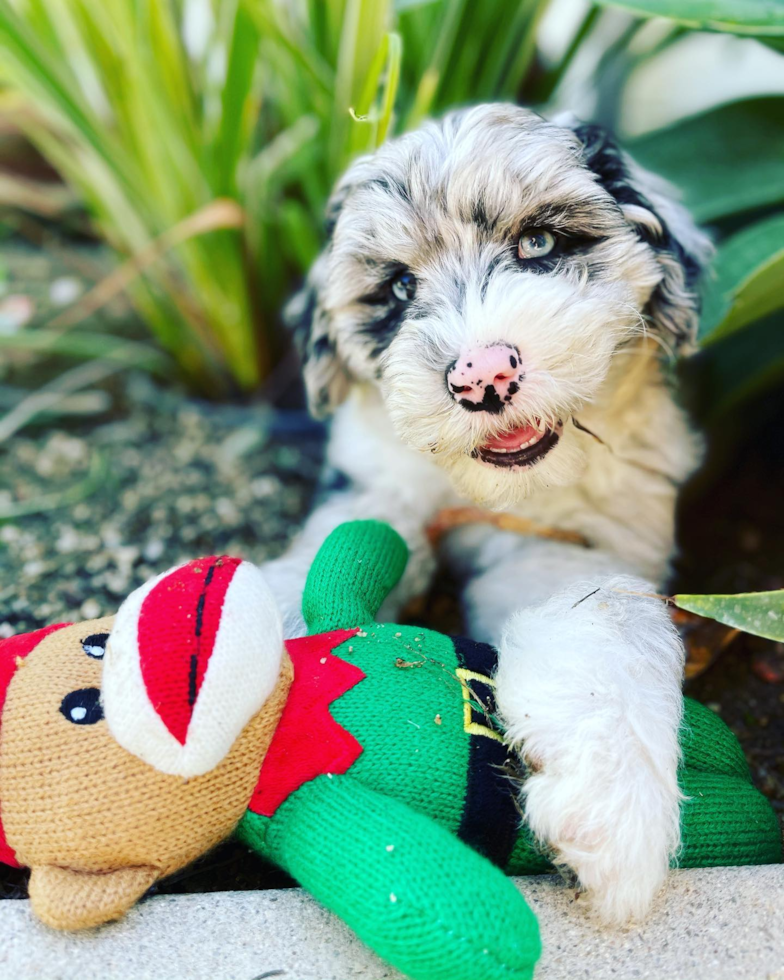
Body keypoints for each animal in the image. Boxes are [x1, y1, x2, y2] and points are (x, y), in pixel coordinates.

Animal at [264, 107, 712, 928]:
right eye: (400, 286)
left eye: (537, 245)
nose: (481, 375)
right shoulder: (378, 483)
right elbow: (319, 559)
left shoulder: (575, 540)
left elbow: (600, 620)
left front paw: (613, 808)